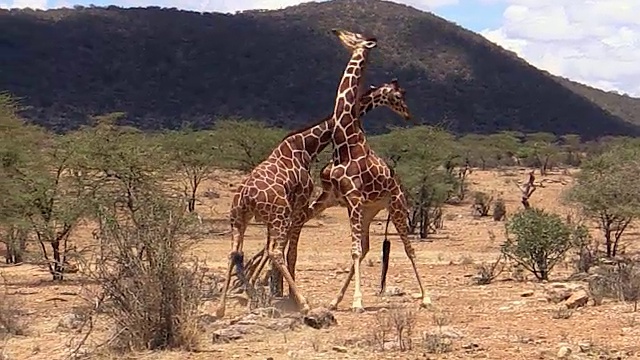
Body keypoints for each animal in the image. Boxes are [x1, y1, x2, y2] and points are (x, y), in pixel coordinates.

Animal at [216, 28, 376, 316]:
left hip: (238, 218)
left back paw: (223, 307)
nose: (337, 32)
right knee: (274, 251)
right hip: (276, 214)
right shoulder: (299, 201)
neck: (307, 144)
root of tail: (244, 196)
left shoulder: (294, 205)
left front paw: (275, 292)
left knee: (235, 252)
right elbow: (290, 249)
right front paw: (284, 294)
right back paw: (302, 302)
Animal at [308, 78, 432, 312]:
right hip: (368, 210)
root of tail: (400, 186)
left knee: (409, 249)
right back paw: (335, 300)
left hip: (397, 207)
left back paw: (427, 297)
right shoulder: (338, 198)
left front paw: (357, 302)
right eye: (399, 95)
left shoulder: (353, 198)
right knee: (365, 247)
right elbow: (355, 250)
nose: (408, 115)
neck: (345, 145)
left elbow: (354, 251)